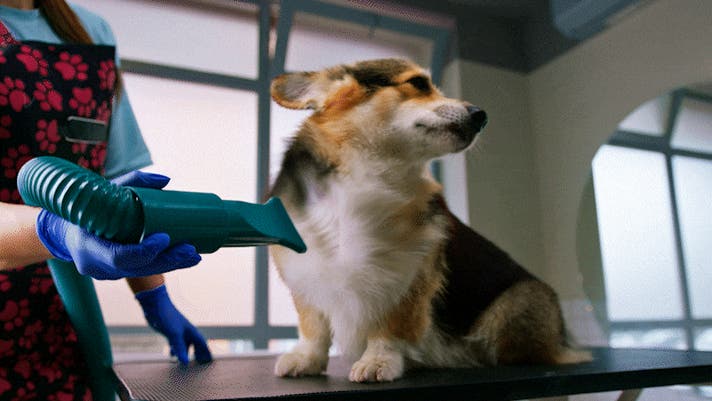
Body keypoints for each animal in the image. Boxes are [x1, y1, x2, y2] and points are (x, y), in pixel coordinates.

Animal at [267, 58, 590, 383]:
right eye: (419, 83)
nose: (482, 115)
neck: (368, 172)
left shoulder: (409, 275)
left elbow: (391, 325)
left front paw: (379, 361)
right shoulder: (307, 273)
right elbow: (313, 326)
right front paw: (305, 359)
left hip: (515, 306)